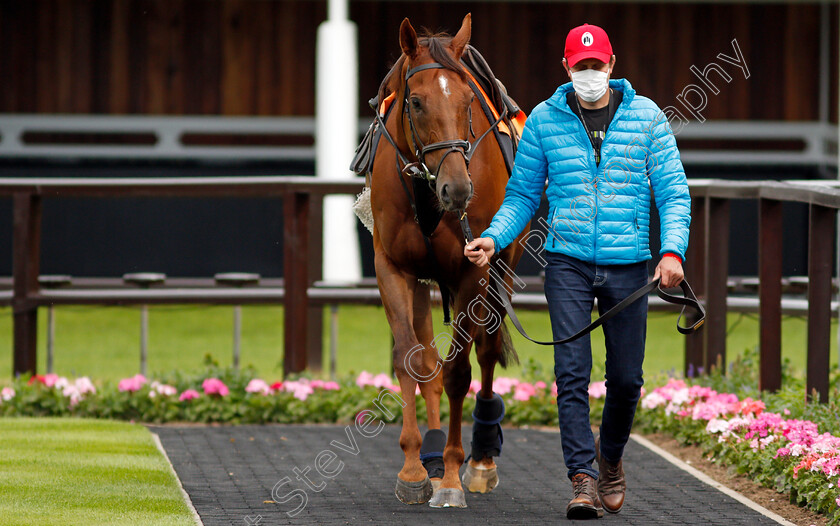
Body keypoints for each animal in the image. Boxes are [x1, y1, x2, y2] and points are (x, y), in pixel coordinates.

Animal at [372, 14, 528, 510]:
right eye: (416, 101)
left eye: (466, 101)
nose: (457, 190)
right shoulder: (393, 267)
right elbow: (410, 360)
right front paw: (413, 469)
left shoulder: (472, 271)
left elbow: (460, 371)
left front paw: (455, 476)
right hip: (425, 279)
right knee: (427, 361)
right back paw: (433, 451)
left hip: (502, 269)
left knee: (487, 352)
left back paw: (480, 461)